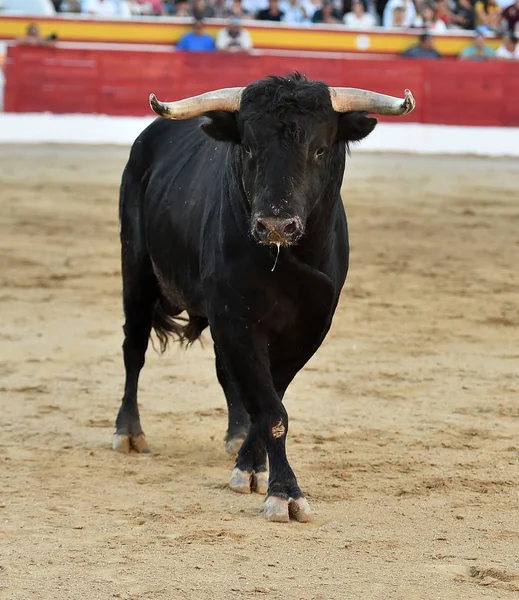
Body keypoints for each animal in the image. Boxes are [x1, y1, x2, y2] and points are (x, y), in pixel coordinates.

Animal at [114, 74, 414, 520]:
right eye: (249, 148)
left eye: (319, 149)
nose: (275, 225)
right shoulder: (236, 321)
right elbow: (271, 409)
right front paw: (284, 492)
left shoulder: (309, 329)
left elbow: (269, 399)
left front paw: (250, 465)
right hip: (136, 271)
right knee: (134, 349)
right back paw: (129, 433)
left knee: (225, 374)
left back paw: (235, 436)